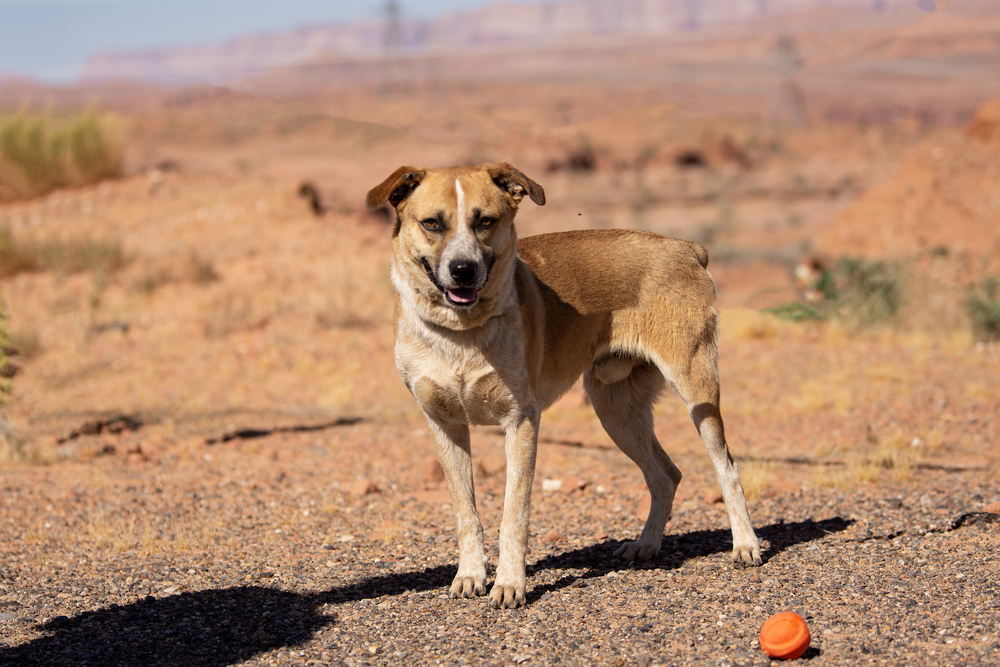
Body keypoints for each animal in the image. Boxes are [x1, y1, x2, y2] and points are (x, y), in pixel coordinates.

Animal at [366, 164, 756, 608]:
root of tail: (688, 248)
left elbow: (513, 514)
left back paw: (746, 545)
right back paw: (646, 545)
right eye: (431, 223)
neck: (461, 335)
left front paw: (509, 584)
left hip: (696, 391)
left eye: (486, 221)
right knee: (666, 475)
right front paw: (469, 575)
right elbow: (466, 513)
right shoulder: (445, 426)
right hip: (616, 412)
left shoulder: (521, 422)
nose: (463, 270)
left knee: (727, 467)